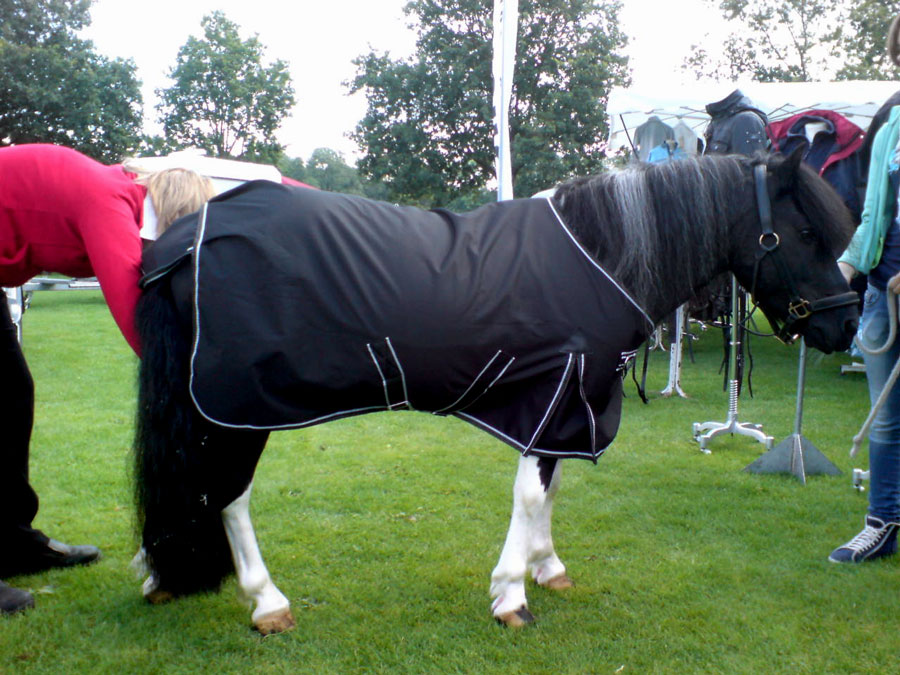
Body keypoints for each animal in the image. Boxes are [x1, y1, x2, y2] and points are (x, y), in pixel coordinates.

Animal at [132, 151, 856, 636]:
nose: (845, 325)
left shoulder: (570, 407)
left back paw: (158, 571)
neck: (603, 255)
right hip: (235, 409)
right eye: (807, 234)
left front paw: (547, 566)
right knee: (228, 495)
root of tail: (185, 237)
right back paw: (267, 601)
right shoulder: (555, 394)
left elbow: (553, 490)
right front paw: (511, 595)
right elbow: (532, 493)